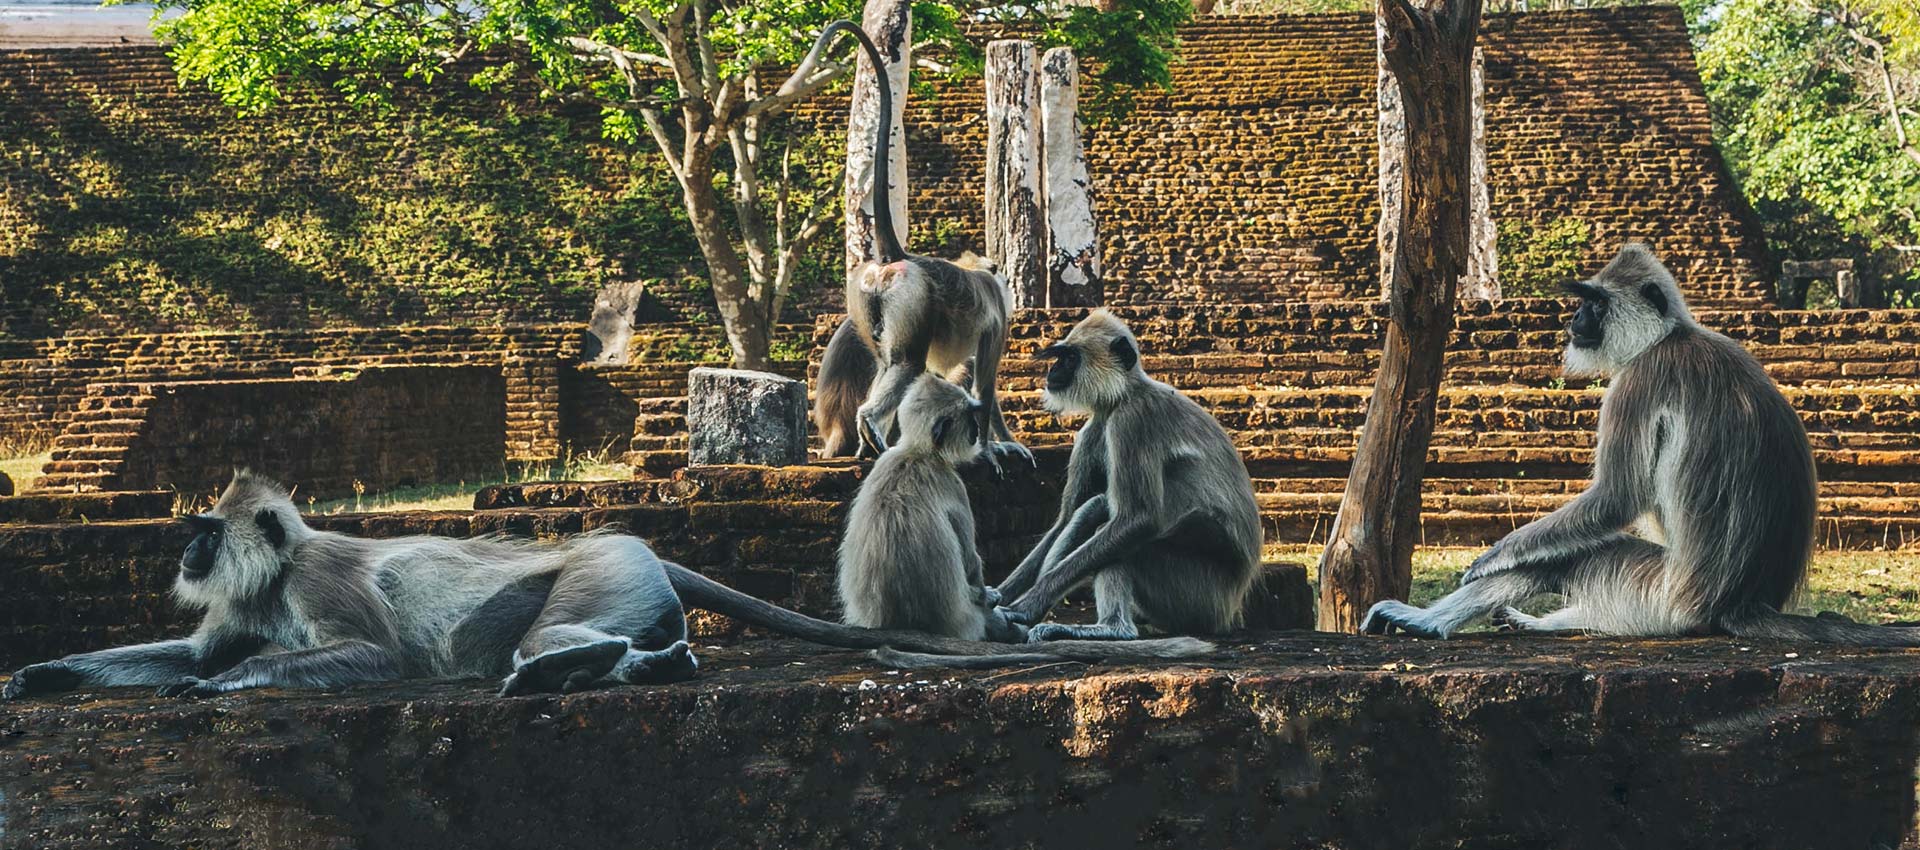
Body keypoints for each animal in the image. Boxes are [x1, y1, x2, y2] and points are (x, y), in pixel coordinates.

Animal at [787, 21, 1036, 472]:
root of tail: (897, 257)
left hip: (864, 295)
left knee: (890, 363)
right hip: (911, 295)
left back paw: (874, 440)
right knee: (908, 363)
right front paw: (995, 447)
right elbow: (985, 386)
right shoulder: (996, 319)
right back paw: (871, 422)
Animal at [833, 376, 1029, 640]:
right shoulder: (953, 484)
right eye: (969, 417)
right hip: (965, 621)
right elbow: (970, 560)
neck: (916, 452)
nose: (977, 430)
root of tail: (898, 623)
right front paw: (989, 595)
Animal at [983, 312, 1267, 644]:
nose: (1052, 371)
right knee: (1094, 509)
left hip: (1199, 597)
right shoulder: (1094, 428)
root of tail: (1231, 612)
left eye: (1069, 358)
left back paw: (1113, 629)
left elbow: (1139, 518)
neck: (1124, 396)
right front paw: (997, 595)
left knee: (1127, 538)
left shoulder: (1132, 421)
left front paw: (1024, 608)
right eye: (1060, 357)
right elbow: (1065, 520)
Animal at [1359, 244, 1920, 644]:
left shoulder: (1638, 382)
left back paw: (1426, 621)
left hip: (1663, 596)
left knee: (1573, 552)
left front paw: (1491, 557)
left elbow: (1615, 498)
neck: (1672, 337)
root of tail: (1739, 606)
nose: (1574, 320)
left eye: (1596, 302)